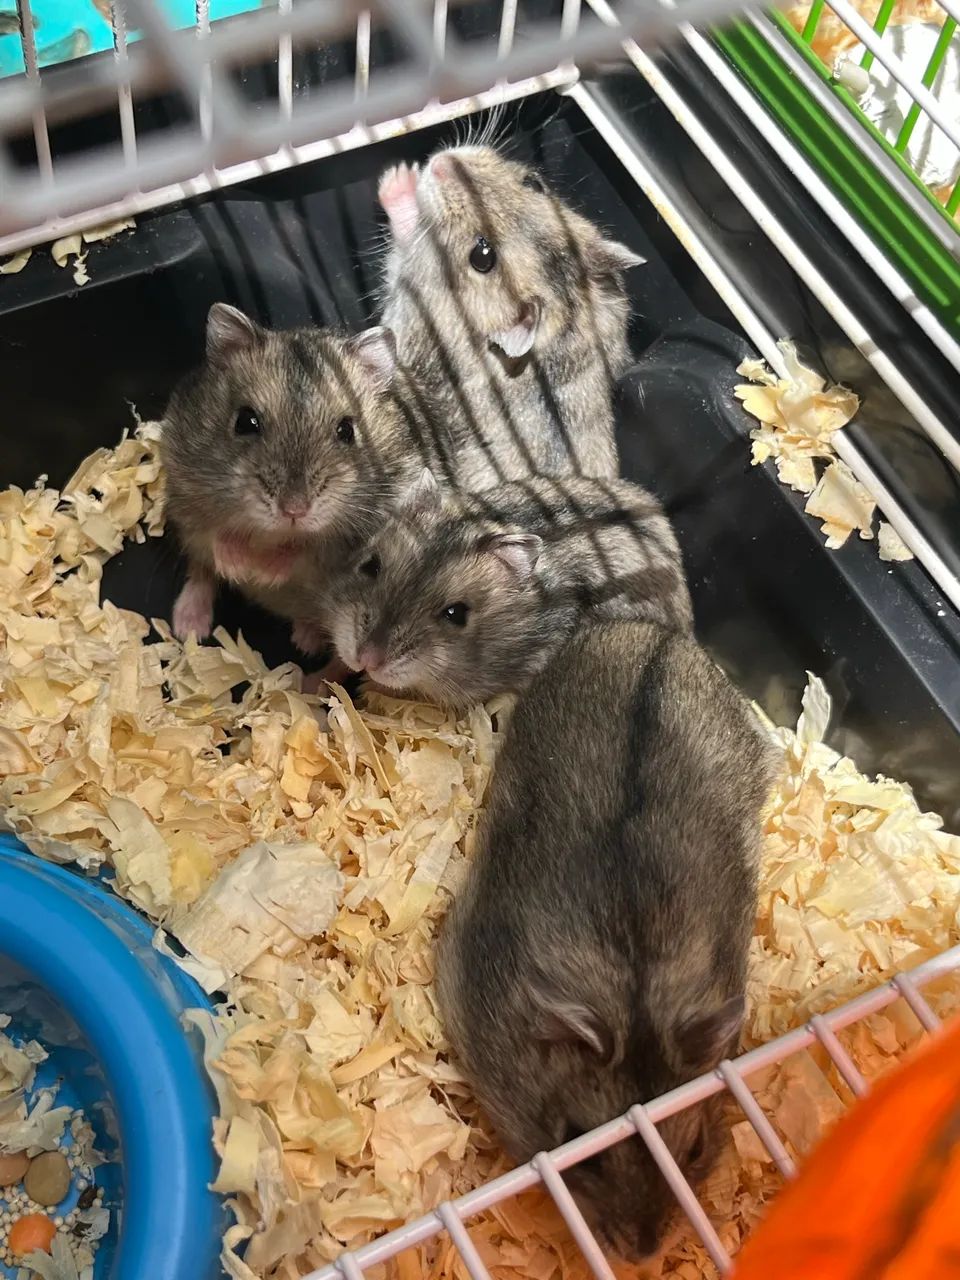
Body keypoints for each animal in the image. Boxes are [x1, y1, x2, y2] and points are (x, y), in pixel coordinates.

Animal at [160, 303, 417, 645]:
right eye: (245, 421)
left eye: (347, 431)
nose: (294, 510)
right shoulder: (186, 492)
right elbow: (216, 534)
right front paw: (239, 568)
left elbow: (305, 550)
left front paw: (263, 571)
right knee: (201, 571)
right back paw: (189, 627)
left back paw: (306, 639)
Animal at [378, 145, 643, 489]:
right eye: (533, 183)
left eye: (482, 256)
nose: (443, 162)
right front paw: (404, 172)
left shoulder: (409, 313)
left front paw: (397, 177)